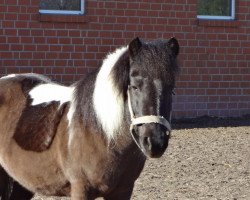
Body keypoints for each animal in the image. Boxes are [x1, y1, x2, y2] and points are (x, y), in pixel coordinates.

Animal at [0, 37, 180, 200]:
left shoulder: (123, 191)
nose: (155, 142)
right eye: (134, 86)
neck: (102, 133)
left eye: (172, 89)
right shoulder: (81, 189)